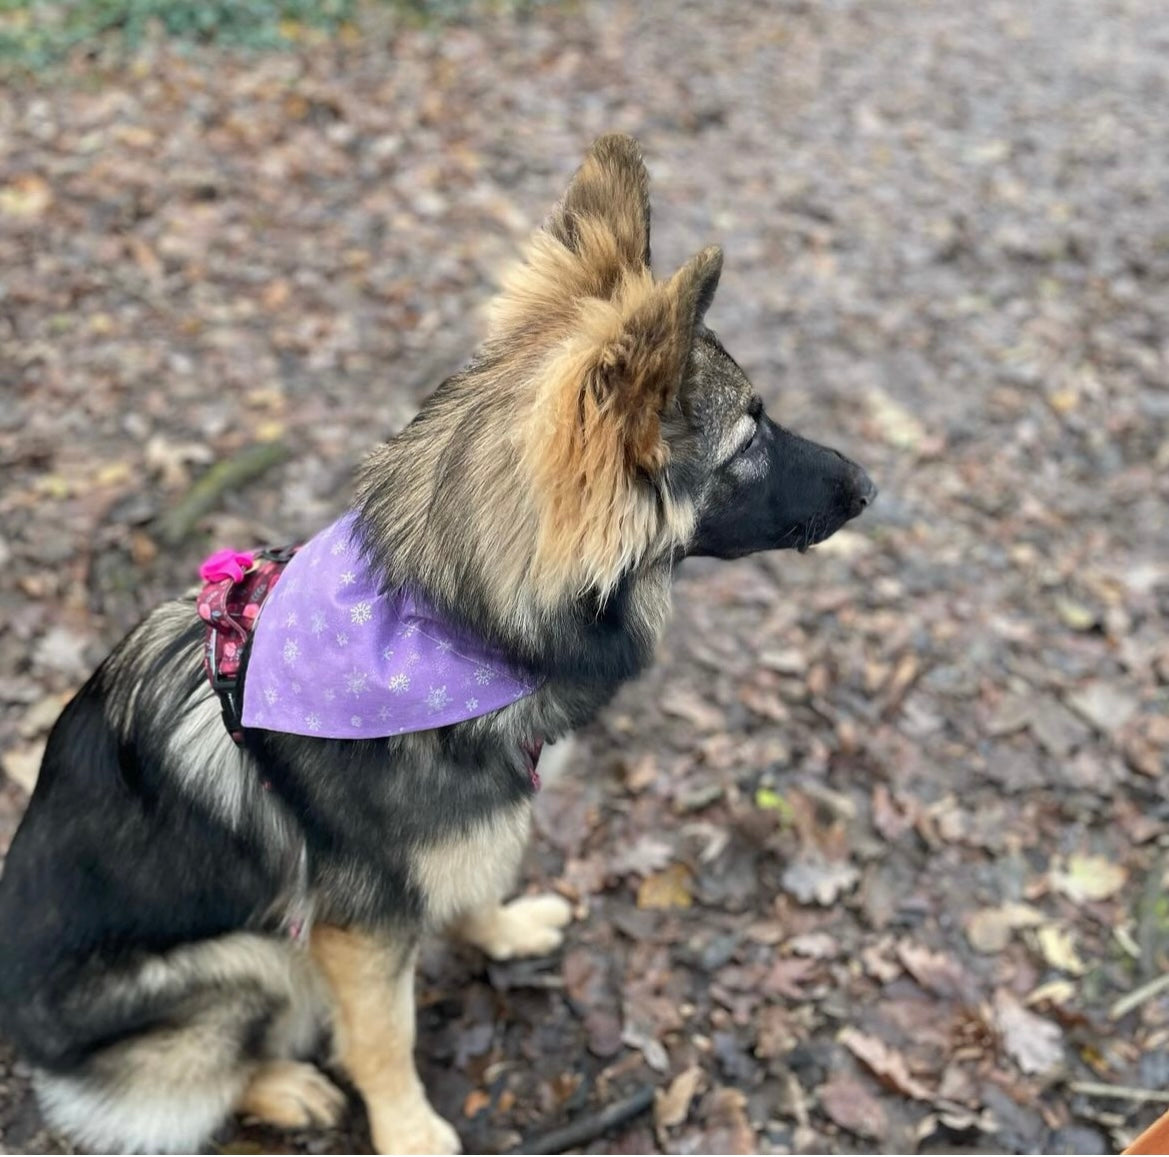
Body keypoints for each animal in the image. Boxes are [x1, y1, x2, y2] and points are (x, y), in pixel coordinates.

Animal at [0, 133, 879, 1149]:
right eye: (749, 436)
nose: (868, 485)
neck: (439, 622)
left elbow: (478, 883)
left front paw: (499, 929)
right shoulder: (356, 929)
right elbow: (385, 1033)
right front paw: (410, 1129)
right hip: (245, 959)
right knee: (189, 1087)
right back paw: (285, 1087)